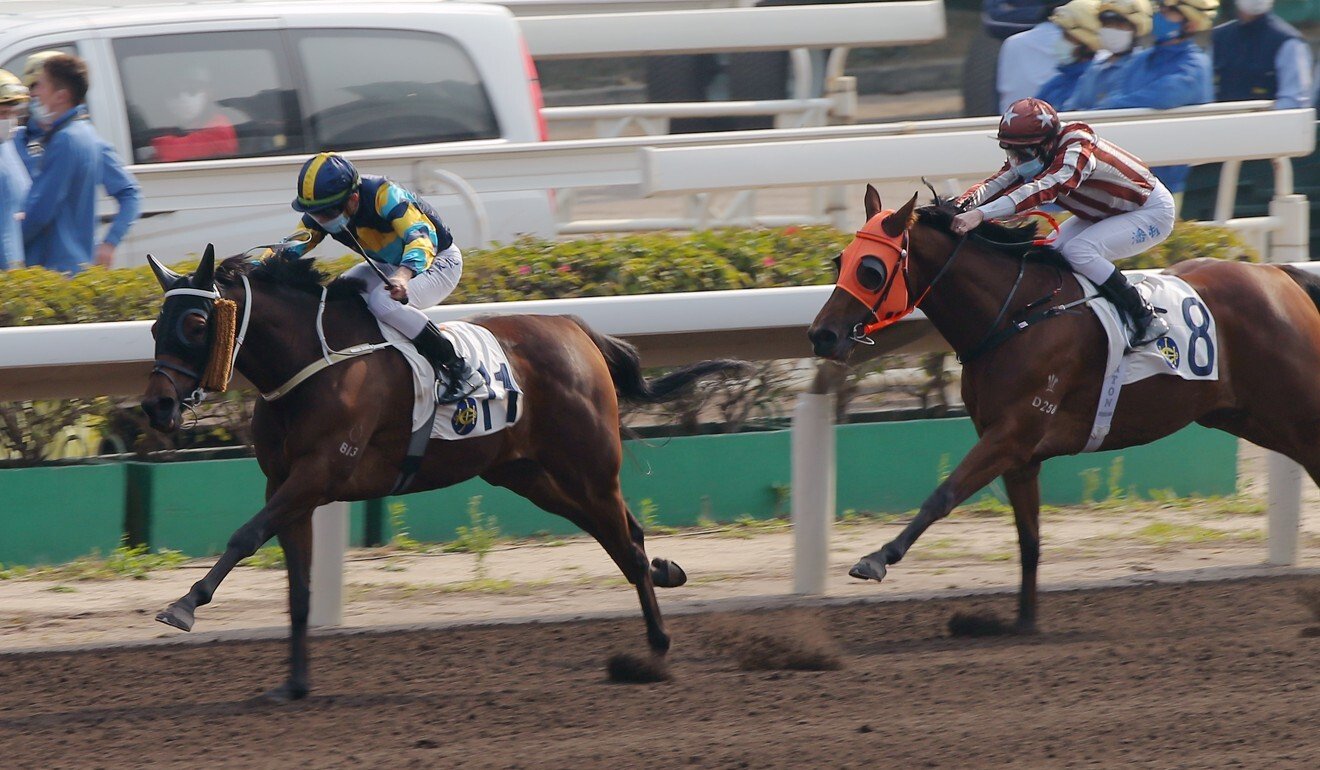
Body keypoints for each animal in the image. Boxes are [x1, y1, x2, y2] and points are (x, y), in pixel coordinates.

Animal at [144, 245, 749, 697]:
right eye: (155, 326)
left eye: (196, 322)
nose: (157, 405)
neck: (314, 362)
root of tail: (577, 328)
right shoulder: (286, 483)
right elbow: (298, 587)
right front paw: (293, 684)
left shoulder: (318, 473)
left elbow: (245, 535)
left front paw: (184, 605)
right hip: (529, 475)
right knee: (624, 536)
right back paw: (666, 577)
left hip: (588, 466)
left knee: (625, 542)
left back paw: (657, 649)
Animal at [807, 186, 1320, 633]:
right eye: (839, 261)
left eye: (871, 270)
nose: (822, 335)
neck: (1015, 314)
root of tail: (1279, 274)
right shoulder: (1019, 456)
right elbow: (1029, 539)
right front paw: (1023, 623)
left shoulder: (1011, 434)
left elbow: (943, 494)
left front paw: (875, 559)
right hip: (1253, 417)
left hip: (1297, 409)